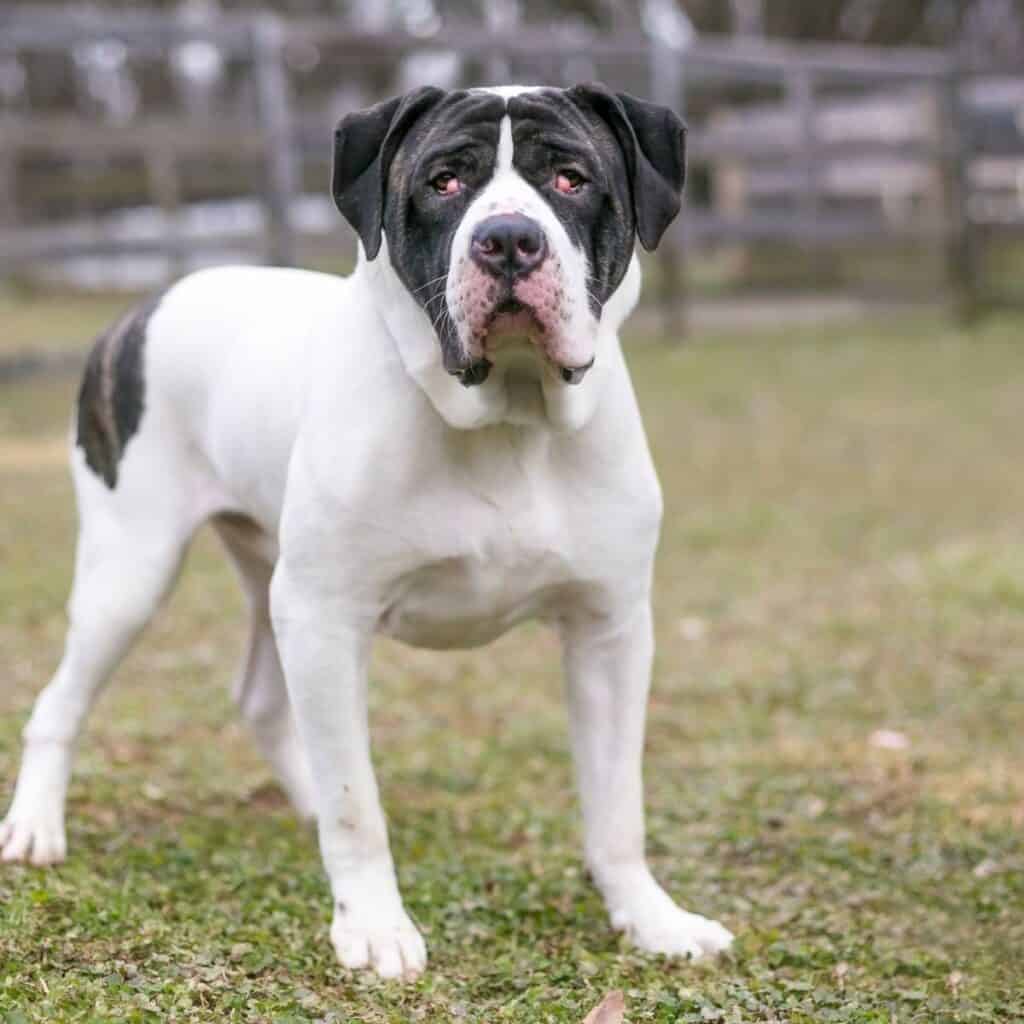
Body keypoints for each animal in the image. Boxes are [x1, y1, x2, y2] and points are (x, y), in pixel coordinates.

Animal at [4, 83, 733, 978]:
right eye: (444, 183)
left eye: (570, 178)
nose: (508, 239)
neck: (509, 414)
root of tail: (149, 302)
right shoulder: (326, 618)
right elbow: (358, 803)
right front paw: (375, 924)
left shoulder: (610, 631)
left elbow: (617, 803)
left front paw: (651, 917)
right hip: (130, 574)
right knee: (63, 699)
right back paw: (36, 826)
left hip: (265, 574)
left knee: (265, 702)